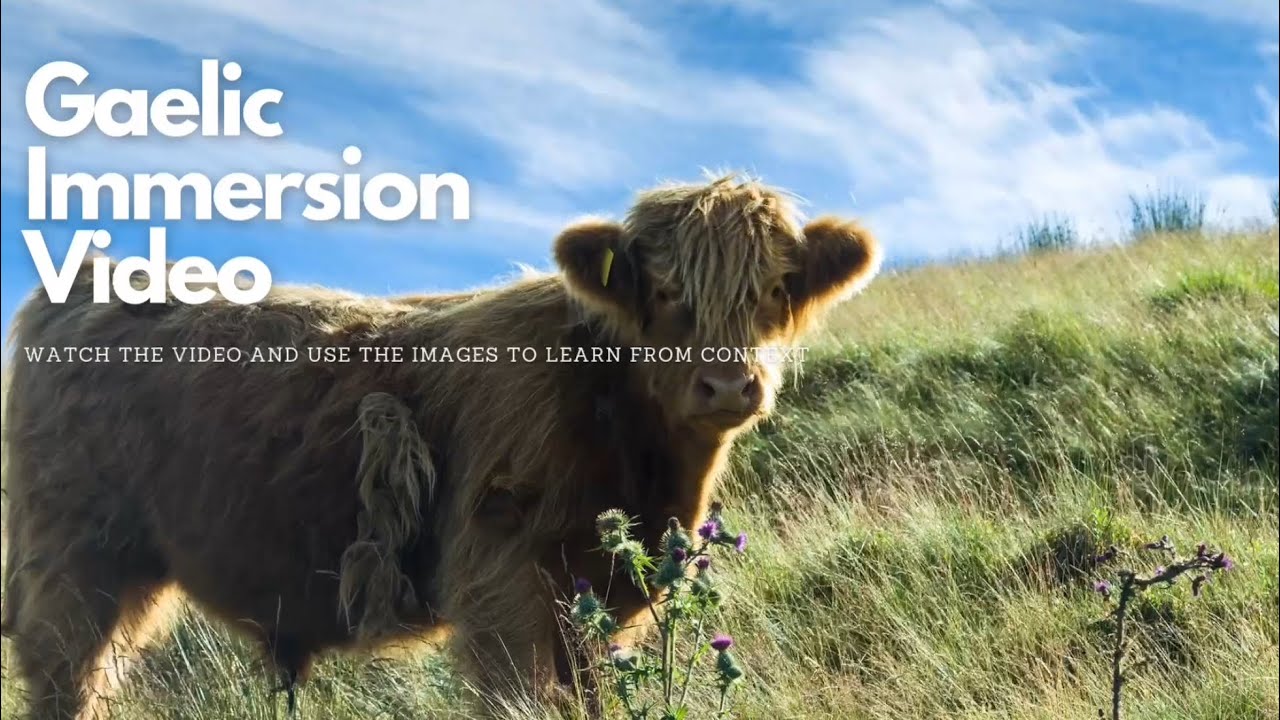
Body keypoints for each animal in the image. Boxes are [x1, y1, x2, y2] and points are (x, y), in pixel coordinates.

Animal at [0, 175, 881, 719]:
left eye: (775, 290)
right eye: (666, 291)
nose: (728, 387)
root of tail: (86, 279)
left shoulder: (598, 605)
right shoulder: (501, 585)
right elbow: (521, 698)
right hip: (76, 558)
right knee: (65, 674)